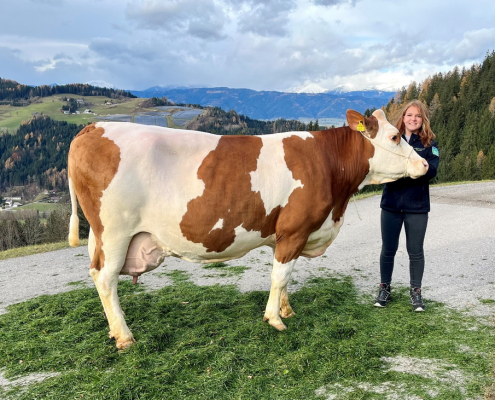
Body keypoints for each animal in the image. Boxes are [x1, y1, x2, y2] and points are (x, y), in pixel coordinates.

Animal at [68, 108, 428, 348]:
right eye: (395, 136)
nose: (425, 163)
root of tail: (92, 128)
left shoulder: (285, 235)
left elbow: (286, 276)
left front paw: (286, 309)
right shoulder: (295, 229)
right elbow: (280, 276)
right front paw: (275, 319)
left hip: (101, 235)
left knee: (97, 273)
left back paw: (114, 330)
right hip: (115, 231)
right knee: (105, 278)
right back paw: (125, 336)